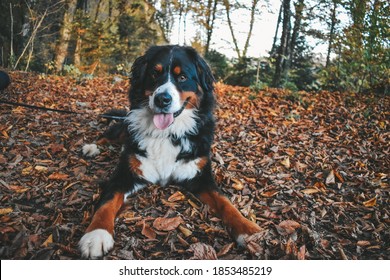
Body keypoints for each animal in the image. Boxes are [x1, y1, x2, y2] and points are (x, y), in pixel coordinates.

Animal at [78, 45, 262, 258]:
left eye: (182, 77)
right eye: (154, 73)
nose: (162, 99)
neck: (167, 134)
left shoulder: (200, 175)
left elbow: (225, 202)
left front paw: (248, 230)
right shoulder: (125, 173)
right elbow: (107, 202)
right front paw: (96, 235)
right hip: (125, 125)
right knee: (110, 133)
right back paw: (92, 146)